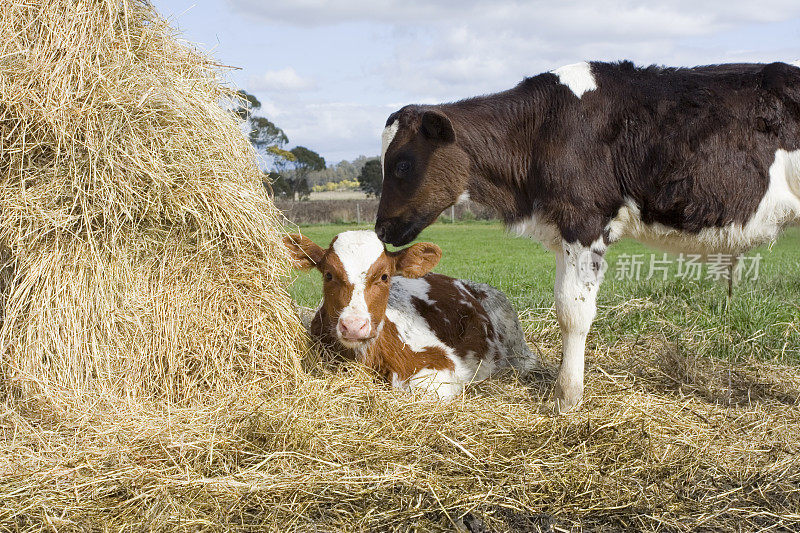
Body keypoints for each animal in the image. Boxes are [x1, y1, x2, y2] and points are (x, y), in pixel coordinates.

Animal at [376, 61, 800, 412]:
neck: (544, 127)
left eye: (402, 163)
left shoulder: (584, 221)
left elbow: (573, 312)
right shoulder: (564, 230)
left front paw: (567, 400)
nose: (381, 228)